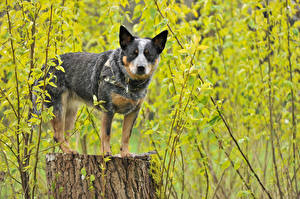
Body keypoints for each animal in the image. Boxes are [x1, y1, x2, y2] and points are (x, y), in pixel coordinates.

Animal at [43, 26, 168, 157]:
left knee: (65, 134)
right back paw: (68, 151)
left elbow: (126, 135)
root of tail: (45, 66)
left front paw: (125, 154)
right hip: (57, 106)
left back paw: (70, 151)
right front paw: (107, 153)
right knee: (57, 135)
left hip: (71, 111)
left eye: (149, 55)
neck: (128, 84)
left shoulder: (133, 112)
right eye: (133, 54)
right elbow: (106, 134)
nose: (141, 67)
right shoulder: (108, 109)